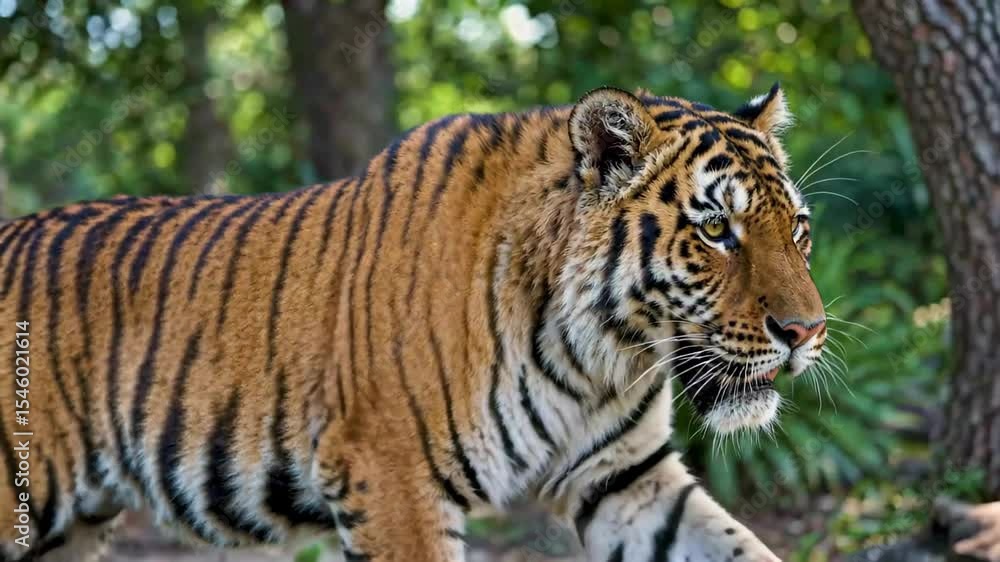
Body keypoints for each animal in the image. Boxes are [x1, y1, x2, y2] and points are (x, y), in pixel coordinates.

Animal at [0, 84, 827, 562]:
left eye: (799, 229)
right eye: (717, 230)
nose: (808, 334)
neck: (600, 353)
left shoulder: (627, 478)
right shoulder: (390, 475)